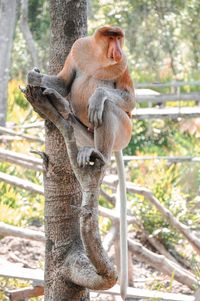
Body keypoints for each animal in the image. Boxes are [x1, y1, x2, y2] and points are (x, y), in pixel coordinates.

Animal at [27, 26, 135, 300]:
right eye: (112, 37)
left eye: (120, 39)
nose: (118, 50)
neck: (98, 56)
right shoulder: (78, 48)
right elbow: (65, 81)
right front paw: (35, 76)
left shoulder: (124, 63)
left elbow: (128, 99)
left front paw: (97, 96)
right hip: (84, 131)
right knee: (70, 117)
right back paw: (60, 107)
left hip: (124, 131)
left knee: (109, 110)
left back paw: (100, 154)